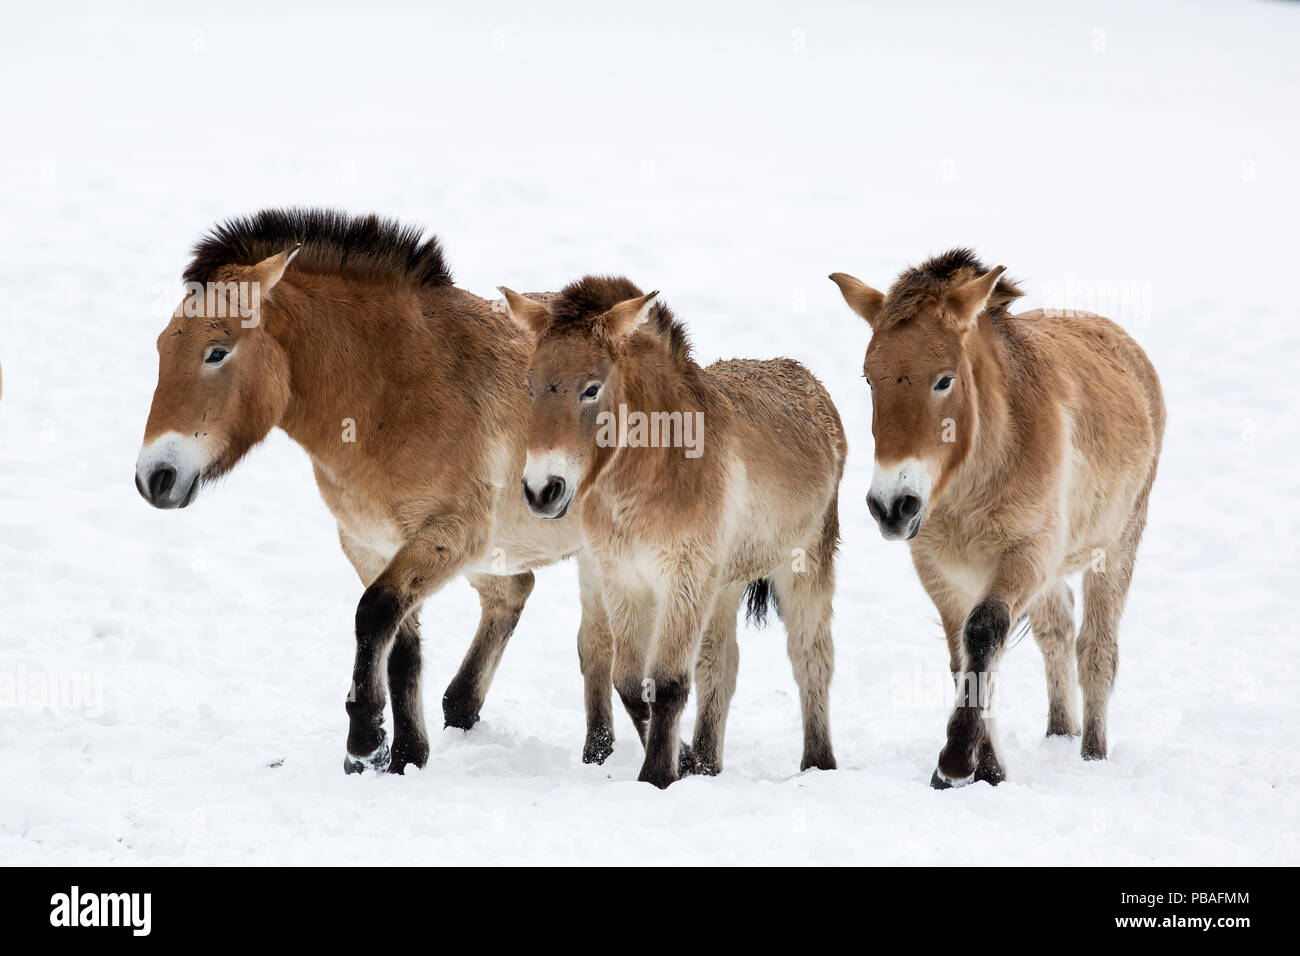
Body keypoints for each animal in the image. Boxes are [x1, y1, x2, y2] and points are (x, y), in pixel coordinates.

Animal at [134, 210, 621, 780]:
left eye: (217, 351)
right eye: (162, 347)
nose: (155, 477)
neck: (394, 392)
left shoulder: (447, 535)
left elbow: (373, 615)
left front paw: (364, 743)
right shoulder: (371, 544)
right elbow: (400, 643)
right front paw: (406, 756)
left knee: (600, 642)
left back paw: (602, 755)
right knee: (514, 593)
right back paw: (464, 709)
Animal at [496, 274, 842, 785]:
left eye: (591, 389)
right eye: (530, 385)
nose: (543, 490)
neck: (652, 473)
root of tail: (808, 381)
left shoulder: (683, 578)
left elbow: (668, 683)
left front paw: (657, 775)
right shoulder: (624, 579)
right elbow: (630, 683)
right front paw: (685, 761)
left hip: (806, 566)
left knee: (811, 660)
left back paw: (818, 763)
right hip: (725, 584)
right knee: (720, 665)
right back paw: (709, 763)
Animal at [832, 251, 1170, 790]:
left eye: (944, 379)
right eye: (869, 377)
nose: (892, 505)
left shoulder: (1026, 554)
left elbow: (984, 632)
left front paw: (954, 762)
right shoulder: (941, 572)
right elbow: (963, 657)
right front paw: (987, 769)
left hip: (1115, 548)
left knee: (1096, 649)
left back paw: (1092, 752)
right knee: (1057, 630)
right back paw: (1060, 732)